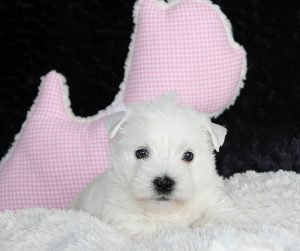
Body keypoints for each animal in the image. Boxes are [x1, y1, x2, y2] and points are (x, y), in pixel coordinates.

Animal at [69, 95, 250, 238]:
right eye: (141, 153)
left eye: (188, 155)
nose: (164, 183)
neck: (168, 209)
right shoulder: (130, 221)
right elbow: (169, 229)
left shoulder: (211, 197)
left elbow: (224, 214)